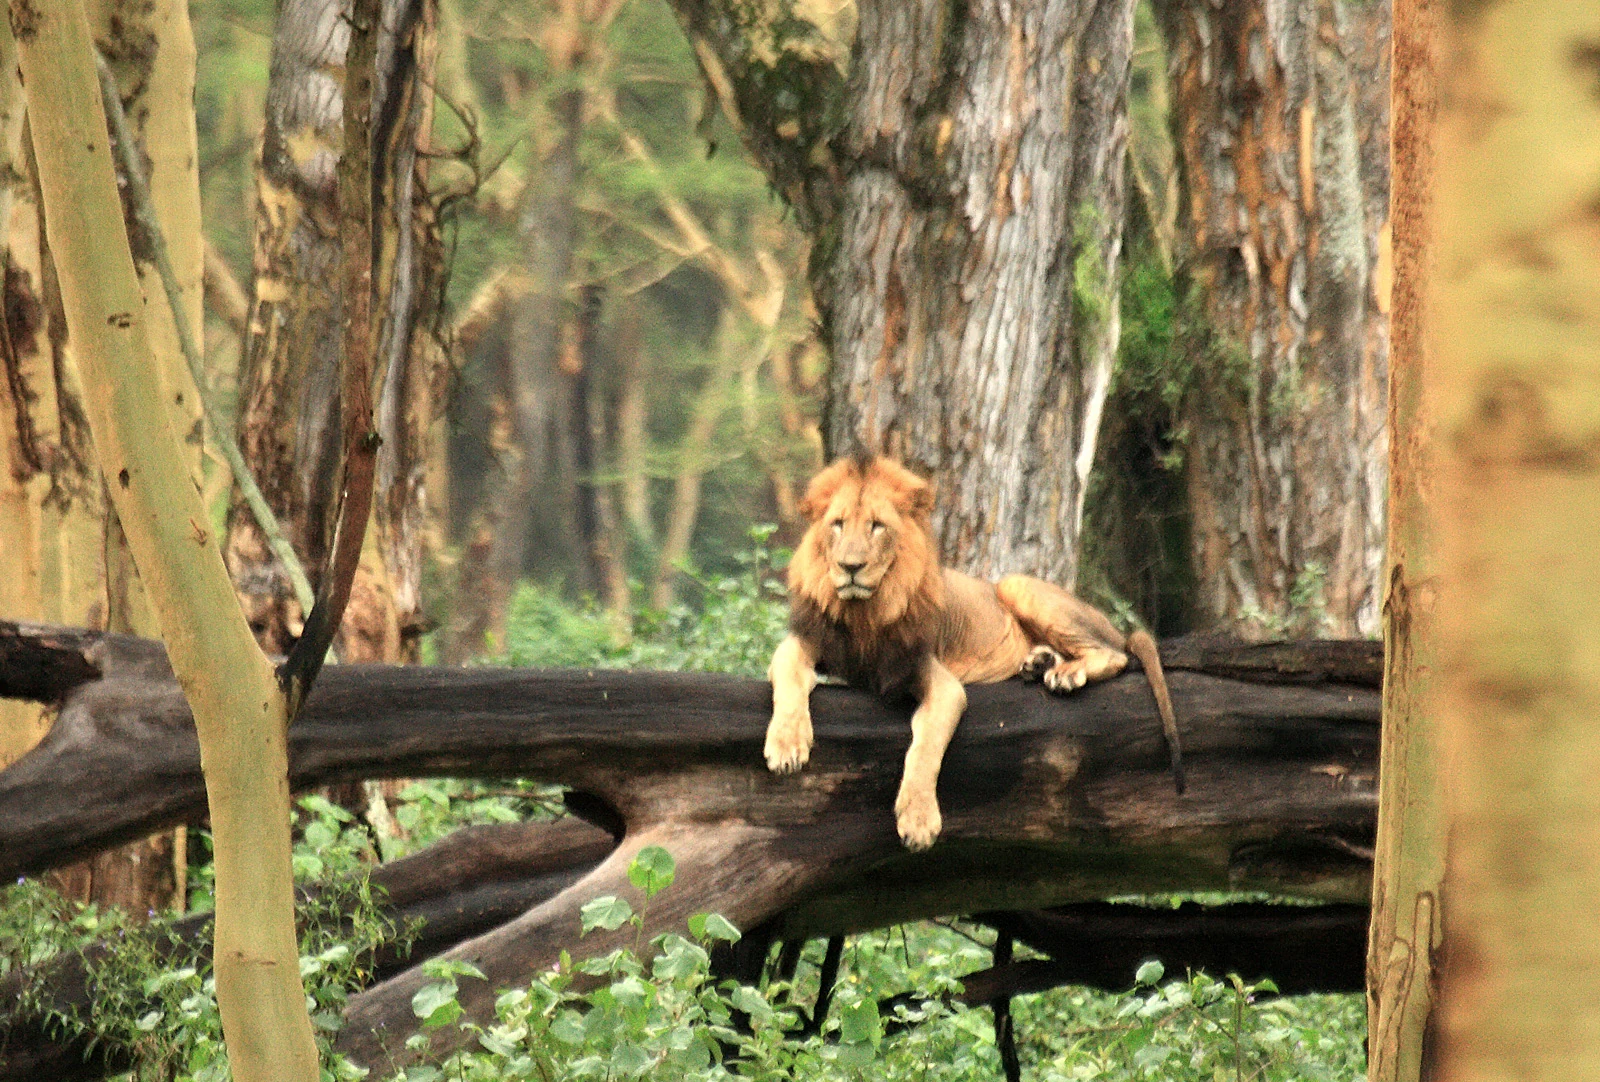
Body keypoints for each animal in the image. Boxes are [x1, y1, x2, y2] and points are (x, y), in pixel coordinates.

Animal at [765, 454, 1183, 850]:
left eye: (876, 526)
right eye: (837, 524)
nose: (850, 567)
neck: (864, 613)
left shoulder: (937, 679)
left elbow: (926, 748)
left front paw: (918, 820)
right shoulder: (808, 641)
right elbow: (786, 672)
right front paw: (786, 745)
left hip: (1018, 585)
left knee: (1115, 654)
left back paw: (1064, 673)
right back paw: (1039, 662)